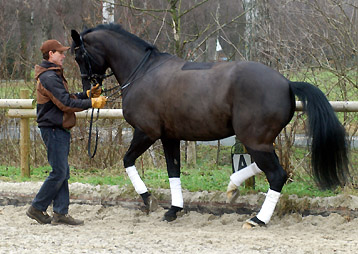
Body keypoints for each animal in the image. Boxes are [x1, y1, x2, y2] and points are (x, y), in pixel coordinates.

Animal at [71, 23, 348, 226]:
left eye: (79, 54)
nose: (88, 90)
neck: (143, 72)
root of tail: (287, 83)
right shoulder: (169, 136)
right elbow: (173, 171)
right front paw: (174, 210)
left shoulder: (146, 133)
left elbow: (127, 160)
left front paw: (148, 200)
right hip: (259, 141)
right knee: (267, 168)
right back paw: (233, 187)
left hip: (255, 140)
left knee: (277, 174)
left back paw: (258, 219)